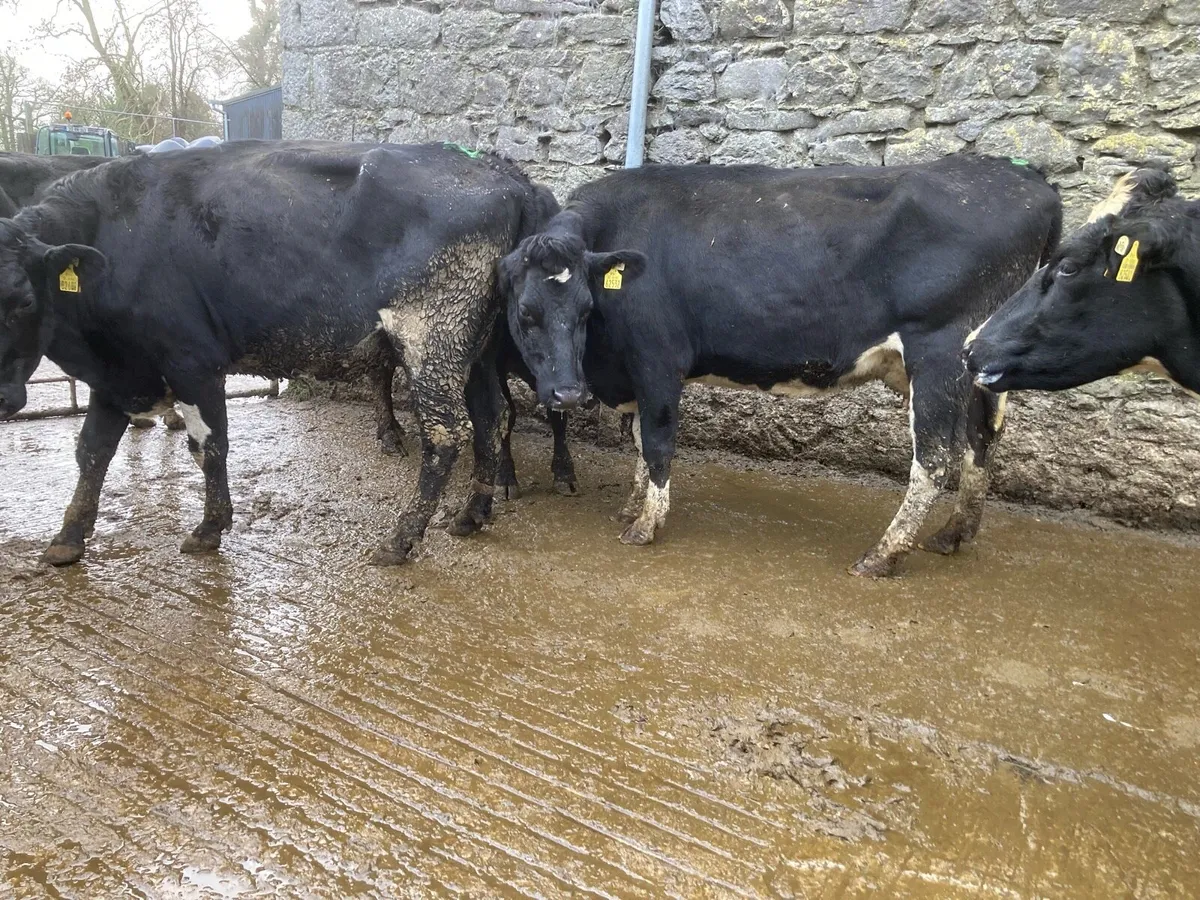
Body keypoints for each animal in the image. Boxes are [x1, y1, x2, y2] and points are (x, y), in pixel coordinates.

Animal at [0, 140, 556, 566]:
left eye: (23, 301)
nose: (5, 400)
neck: (114, 235)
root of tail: (501, 171)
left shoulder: (192, 361)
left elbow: (209, 447)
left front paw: (209, 527)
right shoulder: (118, 370)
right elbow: (91, 450)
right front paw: (68, 537)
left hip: (431, 335)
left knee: (446, 434)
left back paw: (401, 538)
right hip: (476, 348)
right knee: (490, 419)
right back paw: (472, 513)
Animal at [499, 155, 1063, 576]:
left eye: (585, 309)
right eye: (525, 313)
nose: (569, 394)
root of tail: (1024, 176)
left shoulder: (657, 360)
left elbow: (656, 441)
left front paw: (645, 525)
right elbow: (639, 438)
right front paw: (633, 503)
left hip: (939, 353)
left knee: (935, 459)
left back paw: (883, 554)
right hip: (973, 365)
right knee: (979, 441)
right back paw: (953, 533)